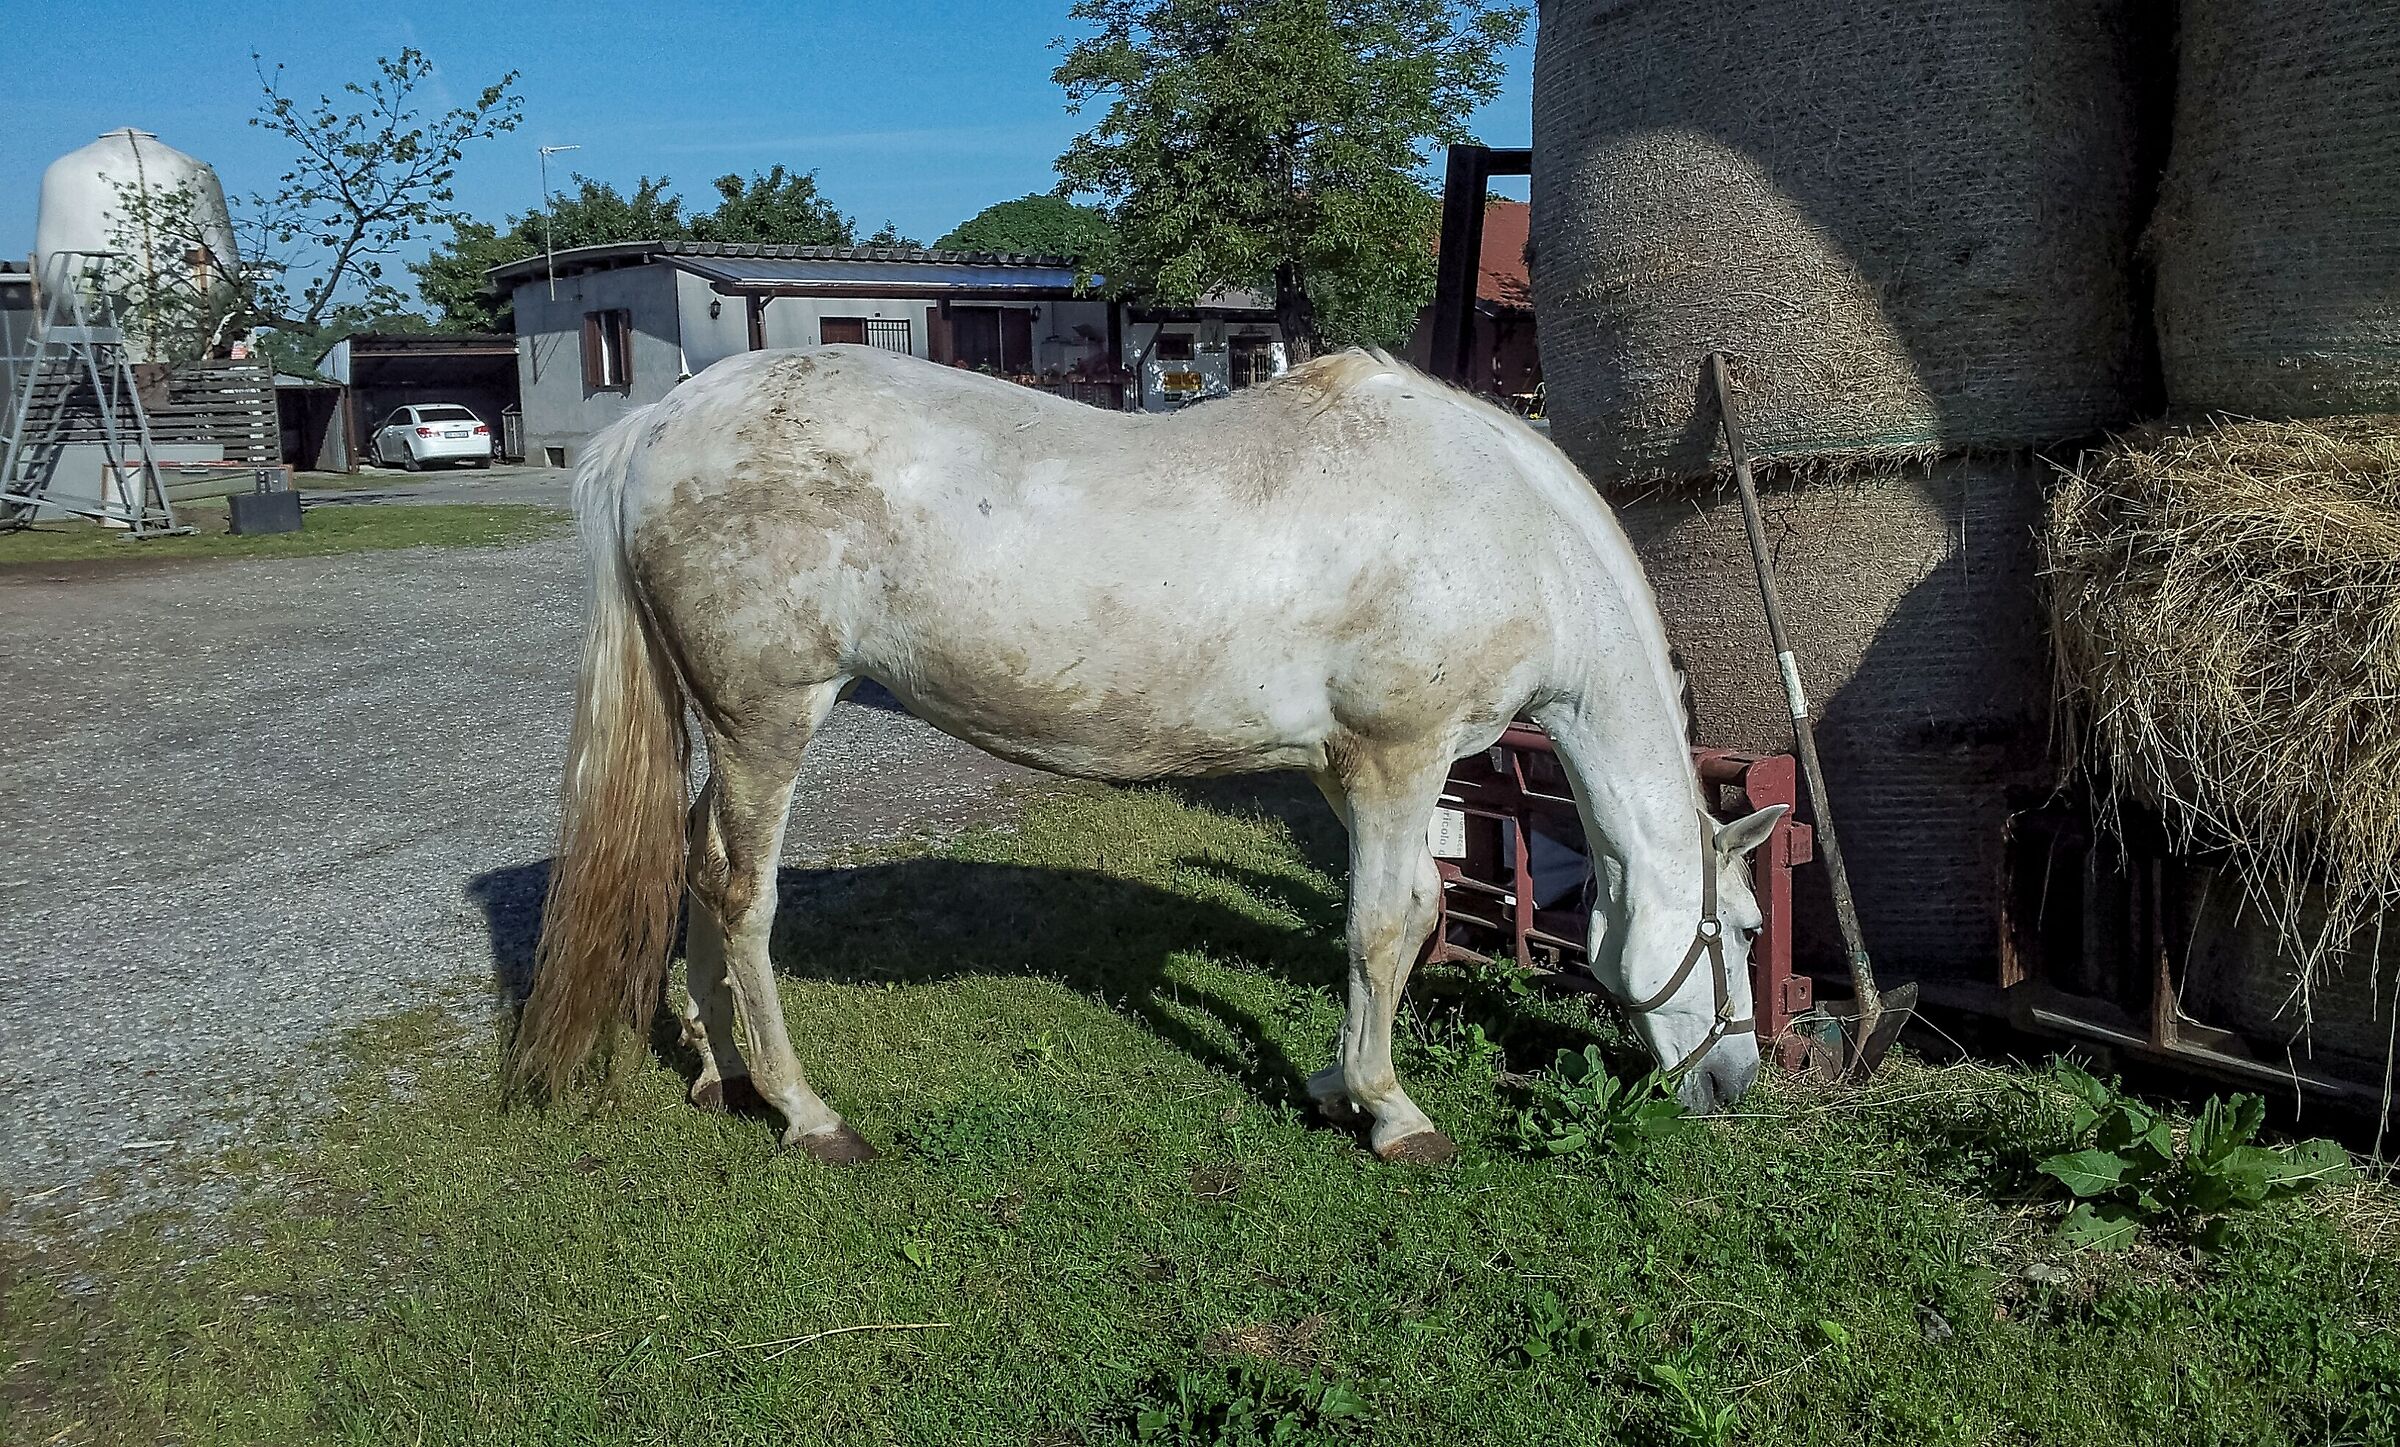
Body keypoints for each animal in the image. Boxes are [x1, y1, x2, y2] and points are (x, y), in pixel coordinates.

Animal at [505, 345, 1784, 1164]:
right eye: (1746, 928)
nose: (1735, 1086)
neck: (1500, 524)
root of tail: (660, 423)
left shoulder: (1342, 770)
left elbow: (1380, 923)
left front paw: (1332, 1083)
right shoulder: (1398, 756)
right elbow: (1392, 924)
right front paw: (1391, 1112)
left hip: (725, 727)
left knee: (696, 869)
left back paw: (720, 1072)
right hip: (770, 718)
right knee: (741, 894)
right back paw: (804, 1110)